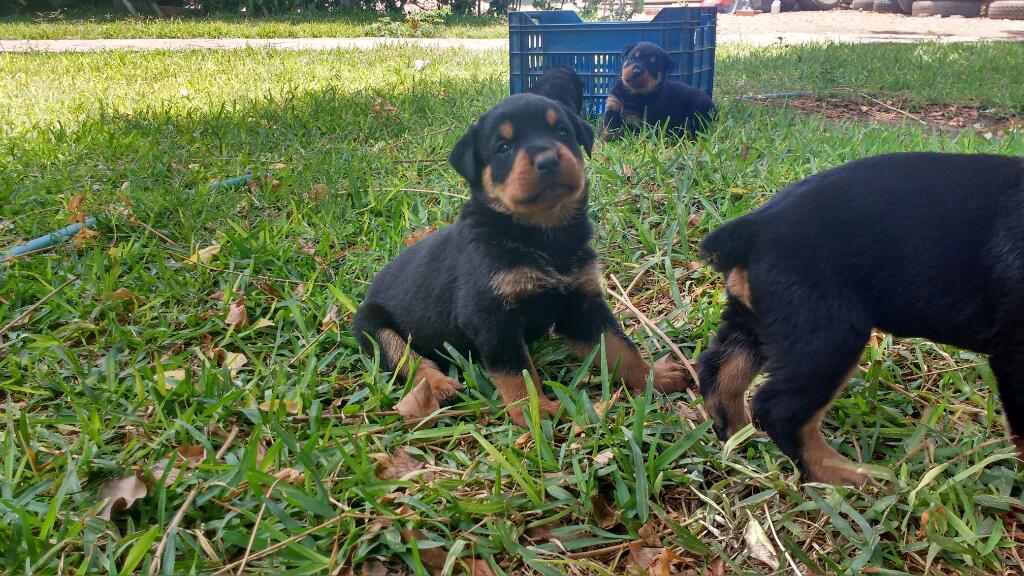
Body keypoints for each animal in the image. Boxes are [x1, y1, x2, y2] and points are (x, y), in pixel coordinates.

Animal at [352, 93, 688, 426]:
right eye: (504, 148)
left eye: (562, 132)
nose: (548, 160)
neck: (541, 234)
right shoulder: (492, 319)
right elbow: (517, 372)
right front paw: (534, 411)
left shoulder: (582, 304)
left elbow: (619, 346)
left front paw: (653, 376)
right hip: (370, 325)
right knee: (408, 359)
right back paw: (439, 386)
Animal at [696, 152, 1024, 483]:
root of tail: (759, 226)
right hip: (828, 336)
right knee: (780, 410)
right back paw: (841, 475)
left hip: (763, 321)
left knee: (719, 370)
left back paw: (740, 441)